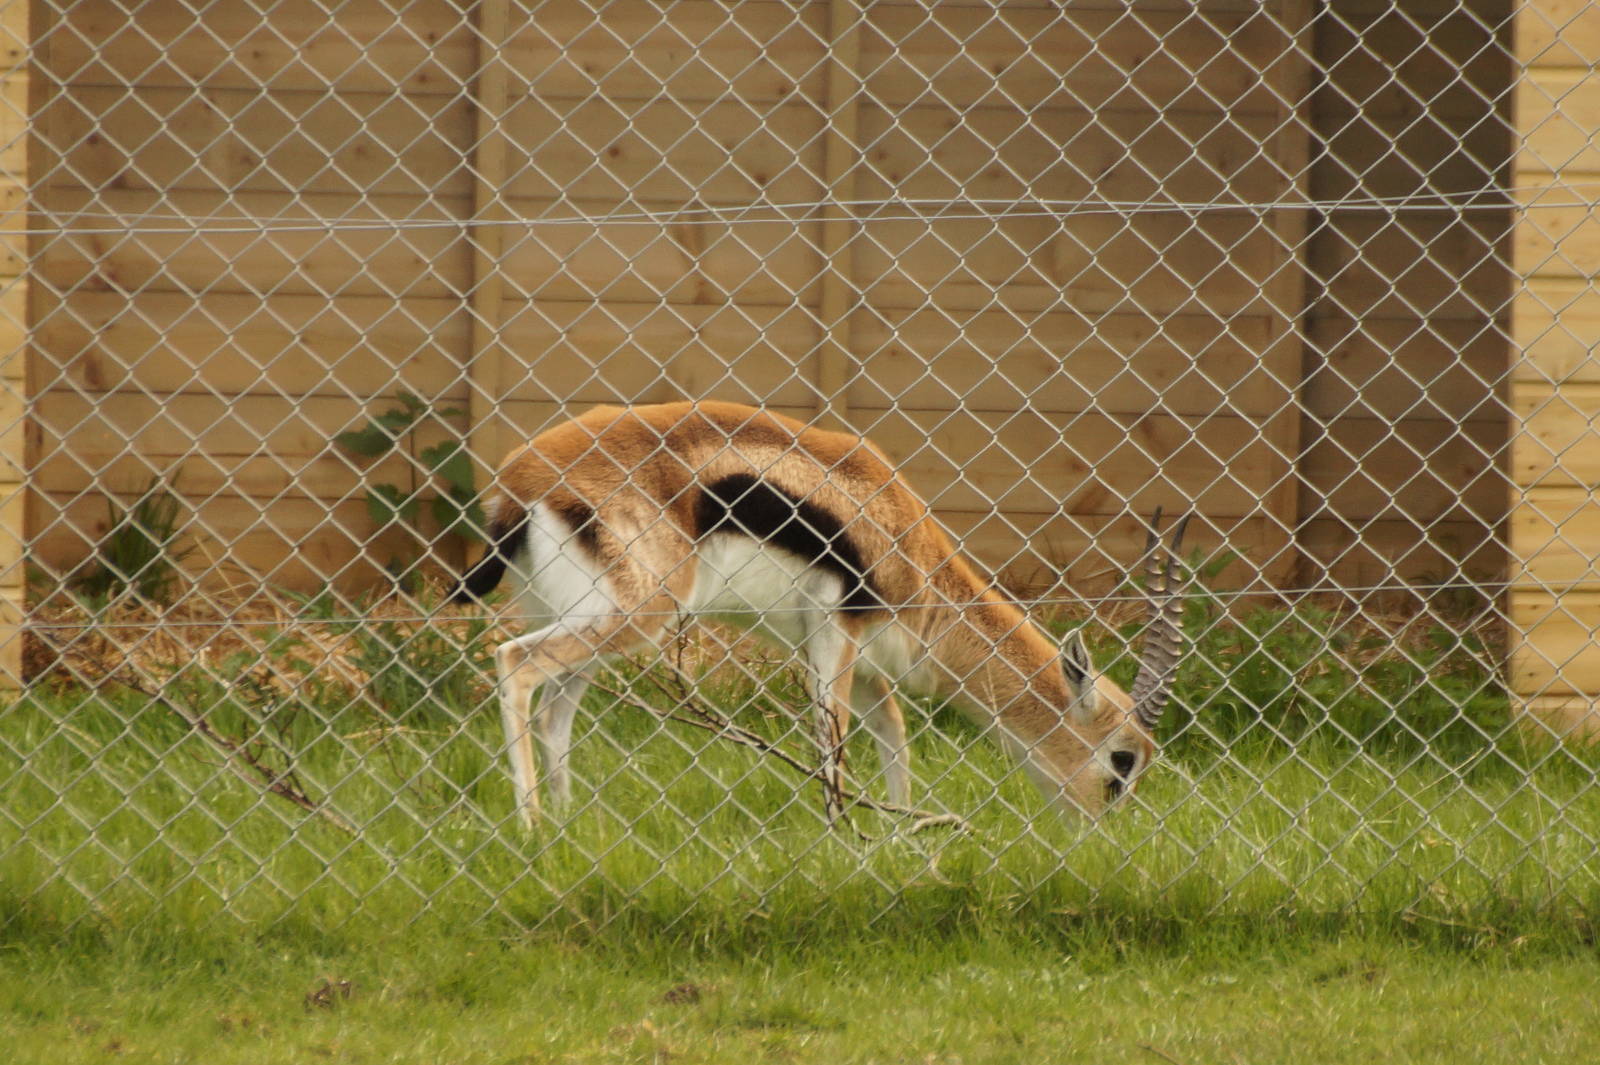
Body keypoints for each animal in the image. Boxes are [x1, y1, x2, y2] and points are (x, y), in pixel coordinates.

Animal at [452, 401, 1188, 829]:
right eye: (1122, 760)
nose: (1101, 834)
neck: (913, 554)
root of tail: (521, 483)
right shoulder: (837, 632)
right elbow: (832, 746)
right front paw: (845, 839)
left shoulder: (850, 654)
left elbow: (893, 734)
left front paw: (900, 829)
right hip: (638, 617)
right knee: (514, 664)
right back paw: (531, 827)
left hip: (596, 623)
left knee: (554, 713)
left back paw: (568, 829)